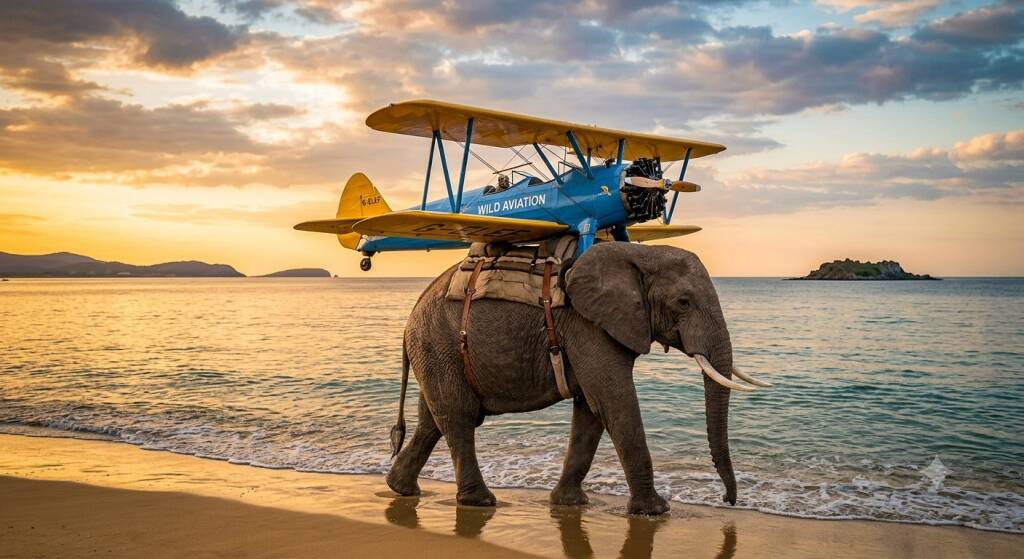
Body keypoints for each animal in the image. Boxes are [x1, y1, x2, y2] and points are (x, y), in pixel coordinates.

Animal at [386, 241, 769, 515]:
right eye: (684, 302)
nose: (728, 501)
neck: (638, 252)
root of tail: (407, 322)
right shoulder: (588, 326)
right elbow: (614, 402)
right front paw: (655, 512)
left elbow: (591, 409)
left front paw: (570, 503)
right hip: (439, 346)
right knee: (459, 418)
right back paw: (479, 502)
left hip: (436, 352)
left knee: (433, 420)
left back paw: (400, 488)